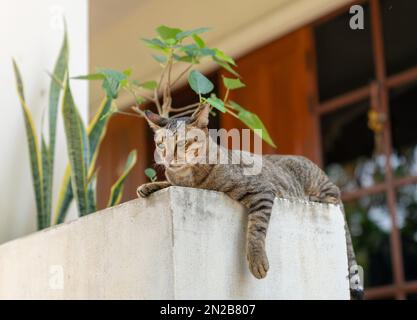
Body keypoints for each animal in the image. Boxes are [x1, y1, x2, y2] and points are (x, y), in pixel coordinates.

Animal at [138, 105, 362, 300]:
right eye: (160, 144)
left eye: (181, 143)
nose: (167, 158)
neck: (189, 179)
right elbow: (168, 181)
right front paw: (149, 185)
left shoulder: (261, 191)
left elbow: (256, 230)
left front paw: (257, 259)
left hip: (319, 184)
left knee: (334, 196)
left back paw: (315, 197)